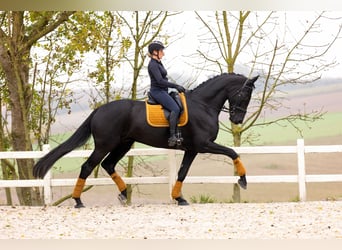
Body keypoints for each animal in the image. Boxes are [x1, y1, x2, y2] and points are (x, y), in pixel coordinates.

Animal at [33, 72, 258, 207]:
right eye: (244, 94)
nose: (237, 120)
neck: (203, 105)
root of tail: (99, 110)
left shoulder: (192, 149)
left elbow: (182, 172)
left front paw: (179, 198)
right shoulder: (203, 145)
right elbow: (232, 152)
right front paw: (243, 180)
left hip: (123, 144)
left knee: (108, 164)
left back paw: (124, 193)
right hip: (105, 145)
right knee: (88, 167)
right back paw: (78, 200)